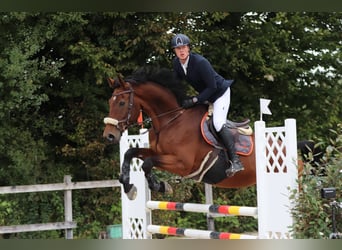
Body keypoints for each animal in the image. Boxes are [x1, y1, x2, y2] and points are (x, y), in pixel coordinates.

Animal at [103, 67, 300, 200]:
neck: (171, 120)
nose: (109, 136)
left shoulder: (183, 164)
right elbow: (131, 153)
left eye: (121, 103)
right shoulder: (157, 152)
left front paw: (161, 186)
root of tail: (295, 153)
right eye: (110, 101)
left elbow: (147, 163)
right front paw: (128, 186)